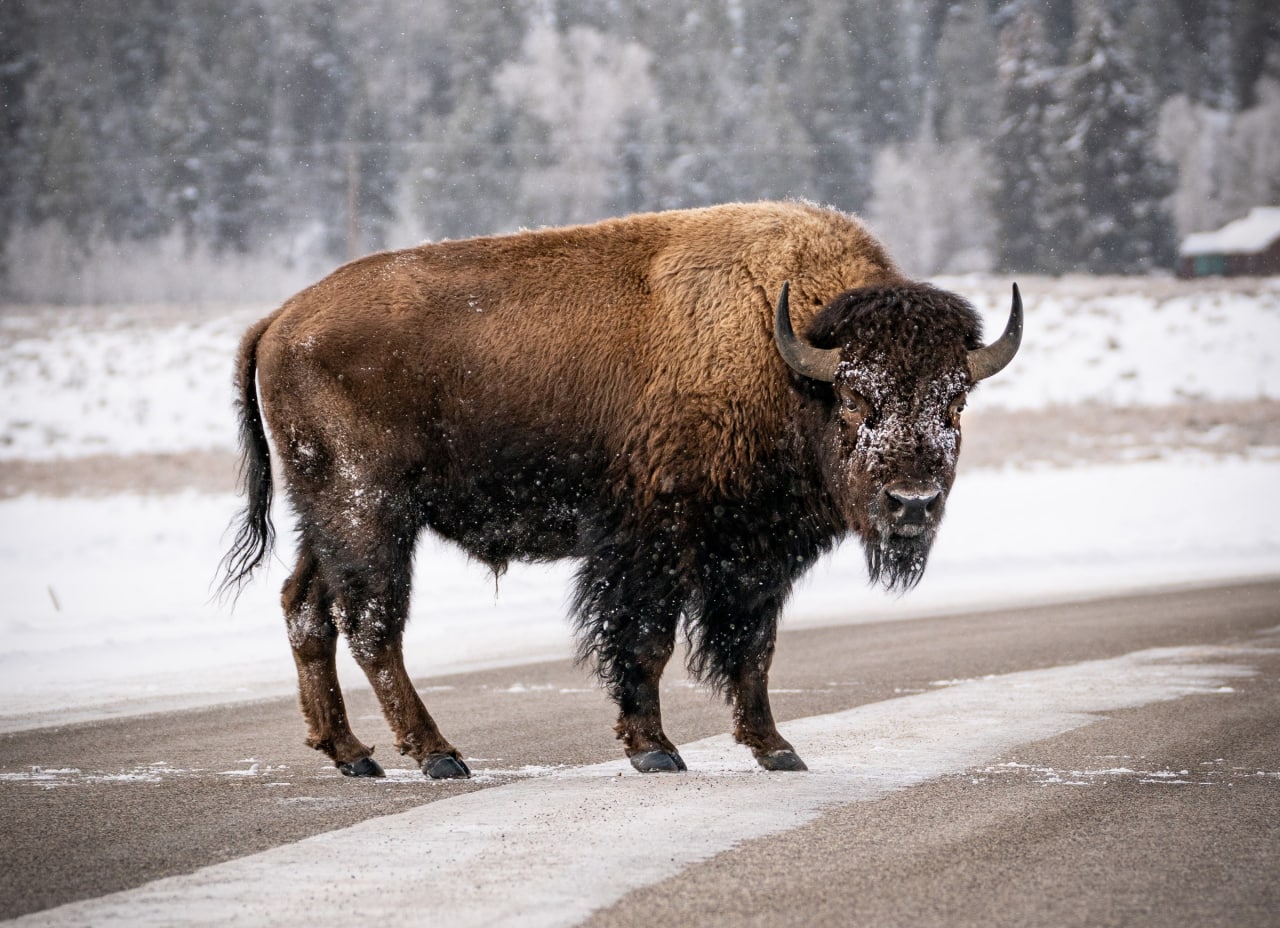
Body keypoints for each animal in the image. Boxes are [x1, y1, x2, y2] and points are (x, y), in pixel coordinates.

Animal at [220, 200, 1018, 773]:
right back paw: (438, 756)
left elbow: (753, 650)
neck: (783, 352)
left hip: (329, 518)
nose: (912, 504)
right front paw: (655, 749)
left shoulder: (753, 557)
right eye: (855, 398)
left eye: (956, 402)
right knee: (372, 624)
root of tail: (280, 319)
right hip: (369, 511)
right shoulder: (652, 542)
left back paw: (353, 755)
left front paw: (777, 749)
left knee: (307, 610)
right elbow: (645, 641)